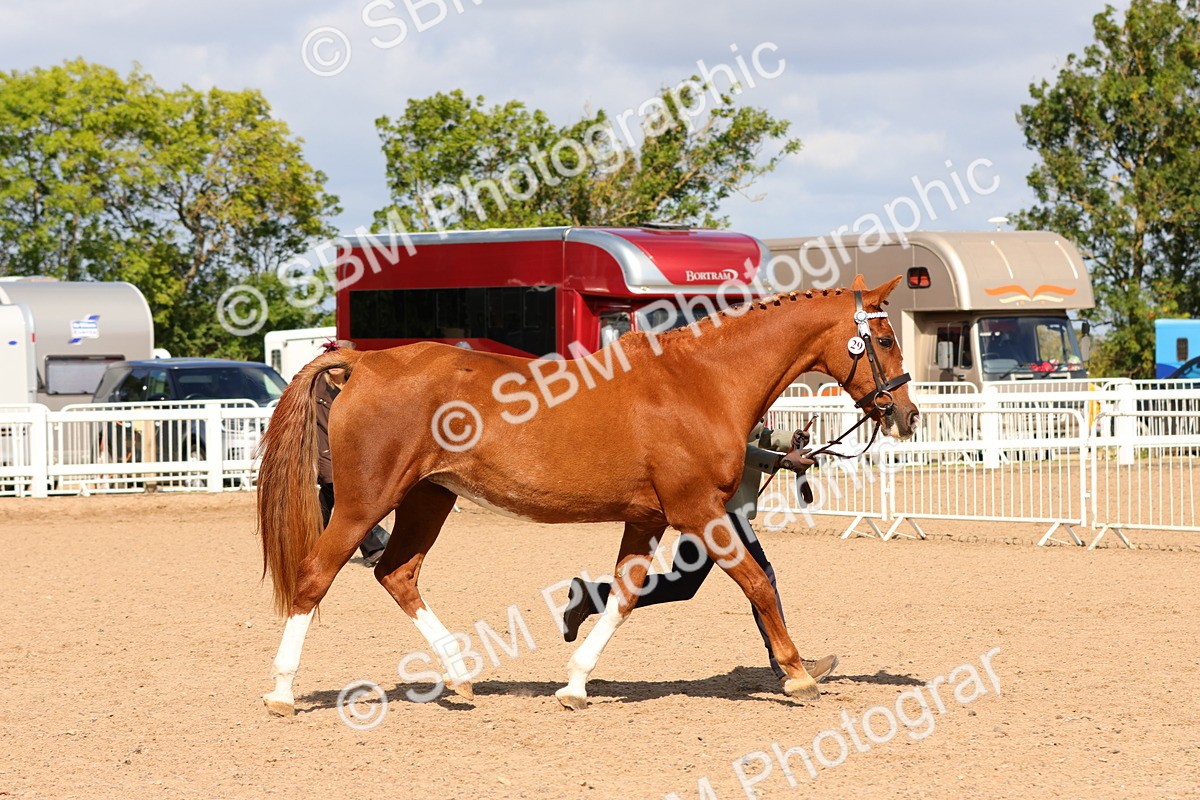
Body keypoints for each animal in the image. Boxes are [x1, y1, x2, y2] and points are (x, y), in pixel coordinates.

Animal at [256, 274, 919, 716]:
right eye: (885, 340)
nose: (907, 415)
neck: (702, 380)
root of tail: (363, 365)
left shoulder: (648, 519)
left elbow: (624, 594)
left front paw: (574, 683)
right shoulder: (699, 513)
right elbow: (756, 583)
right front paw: (799, 675)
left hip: (427, 498)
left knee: (397, 573)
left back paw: (461, 678)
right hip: (363, 502)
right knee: (315, 576)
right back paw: (282, 692)